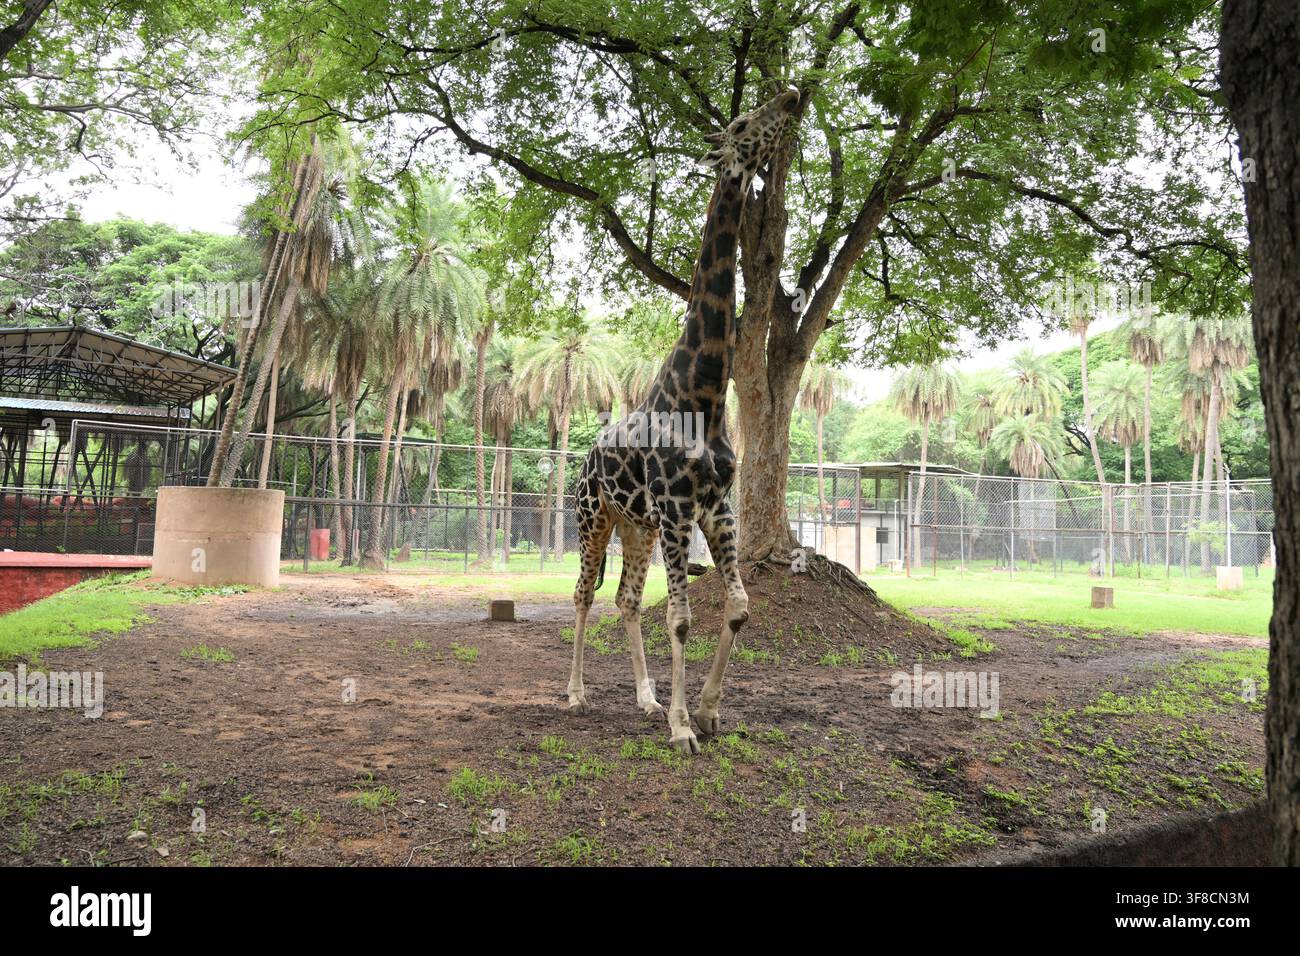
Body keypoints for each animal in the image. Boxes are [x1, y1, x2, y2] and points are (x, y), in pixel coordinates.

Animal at [567, 89, 800, 755]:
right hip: (595, 518)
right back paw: (575, 693)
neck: (705, 395)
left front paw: (708, 712)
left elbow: (739, 607)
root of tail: (585, 458)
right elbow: (680, 616)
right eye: (743, 123)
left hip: (636, 526)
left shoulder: (715, 508)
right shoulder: (676, 509)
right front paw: (680, 729)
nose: (792, 95)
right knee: (584, 595)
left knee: (624, 600)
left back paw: (644, 699)